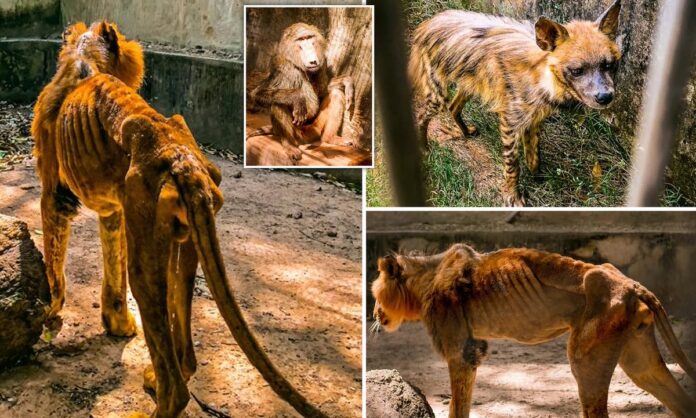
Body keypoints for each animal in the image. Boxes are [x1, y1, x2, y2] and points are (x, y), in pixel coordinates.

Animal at [372, 243, 696, 416]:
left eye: (375, 294)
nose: (374, 313)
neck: (425, 278)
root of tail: (632, 284)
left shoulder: (460, 351)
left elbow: (458, 405)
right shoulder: (474, 348)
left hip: (585, 358)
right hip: (639, 358)